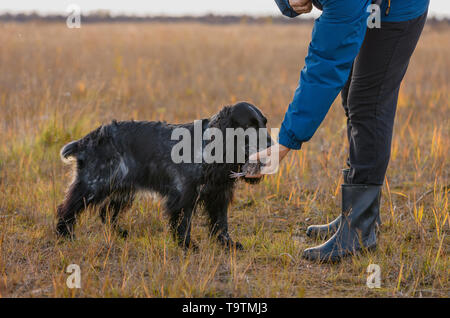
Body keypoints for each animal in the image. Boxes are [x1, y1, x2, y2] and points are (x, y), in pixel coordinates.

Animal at [57, 102, 272, 248]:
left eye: (264, 122)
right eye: (250, 125)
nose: (272, 144)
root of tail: (87, 140)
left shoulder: (218, 195)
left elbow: (221, 223)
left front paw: (227, 244)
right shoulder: (184, 195)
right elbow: (184, 223)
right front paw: (187, 246)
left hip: (123, 189)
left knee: (106, 212)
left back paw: (121, 233)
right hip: (93, 184)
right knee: (66, 209)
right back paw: (64, 235)